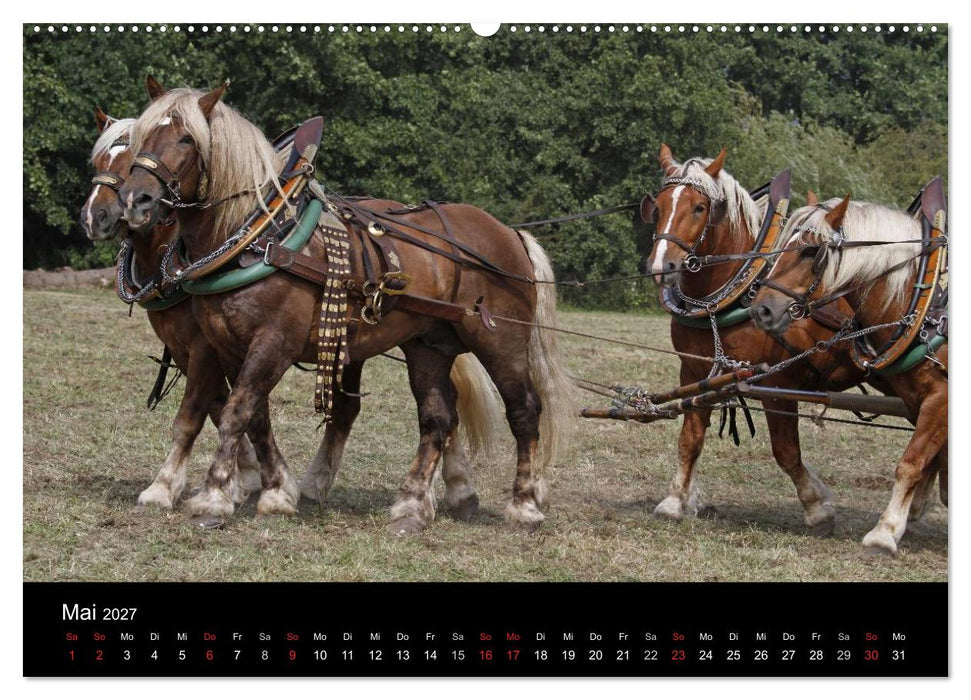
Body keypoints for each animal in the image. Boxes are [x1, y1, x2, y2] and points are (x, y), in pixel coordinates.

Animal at [117, 83, 574, 533]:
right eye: (141, 136)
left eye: (187, 139)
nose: (135, 201)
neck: (259, 236)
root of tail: (510, 233)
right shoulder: (220, 346)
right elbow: (232, 415)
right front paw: (269, 491)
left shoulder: (273, 342)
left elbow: (236, 412)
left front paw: (213, 498)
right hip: (429, 345)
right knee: (438, 417)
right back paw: (411, 506)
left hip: (501, 341)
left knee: (524, 410)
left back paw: (523, 505)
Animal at [640, 144, 872, 536]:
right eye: (658, 206)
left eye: (698, 207)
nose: (661, 267)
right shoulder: (696, 372)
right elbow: (690, 437)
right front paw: (675, 500)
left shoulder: (778, 383)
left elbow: (785, 450)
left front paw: (818, 506)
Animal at [750, 194, 947, 554]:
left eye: (811, 251)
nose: (762, 309)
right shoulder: (917, 395)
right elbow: (926, 460)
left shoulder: (941, 395)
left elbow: (911, 463)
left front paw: (884, 532)